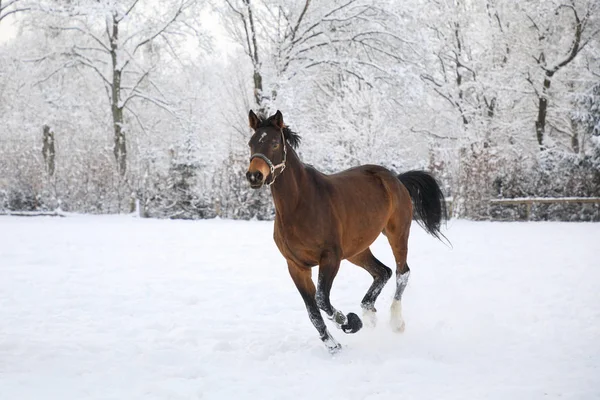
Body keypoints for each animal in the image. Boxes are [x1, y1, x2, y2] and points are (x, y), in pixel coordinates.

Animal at [246, 109, 448, 354]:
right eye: (251, 143)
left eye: (275, 143)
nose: (254, 176)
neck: (299, 205)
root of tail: (396, 179)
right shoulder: (296, 266)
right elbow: (312, 311)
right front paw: (333, 345)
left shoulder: (330, 258)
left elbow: (322, 299)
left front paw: (348, 321)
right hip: (356, 250)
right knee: (383, 272)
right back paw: (368, 314)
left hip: (397, 234)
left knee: (402, 272)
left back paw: (395, 322)